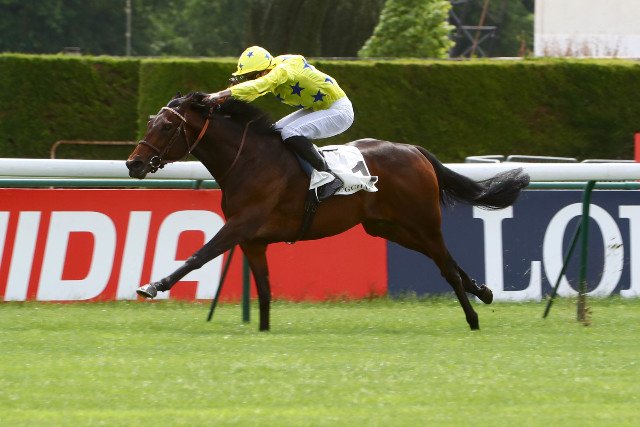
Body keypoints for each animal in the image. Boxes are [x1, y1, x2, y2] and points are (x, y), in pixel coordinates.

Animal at [126, 92, 530, 331]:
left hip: (422, 221)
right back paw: (483, 291)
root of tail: (415, 150)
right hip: (388, 227)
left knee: (445, 265)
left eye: (166, 126)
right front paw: (263, 330)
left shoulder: (241, 225)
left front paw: (153, 285)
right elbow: (265, 290)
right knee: (445, 260)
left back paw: (473, 318)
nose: (134, 163)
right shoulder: (254, 240)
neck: (248, 160)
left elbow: (199, 255)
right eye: (150, 123)